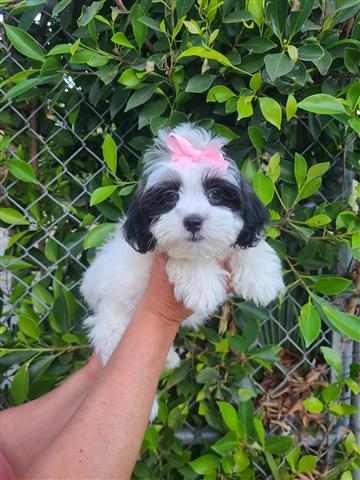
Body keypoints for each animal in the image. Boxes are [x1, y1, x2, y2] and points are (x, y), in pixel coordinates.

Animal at [81, 124, 284, 412]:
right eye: (169, 196)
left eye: (215, 194)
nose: (193, 221)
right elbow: (187, 258)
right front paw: (202, 286)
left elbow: (245, 245)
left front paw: (261, 277)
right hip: (114, 316)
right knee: (109, 343)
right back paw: (152, 404)